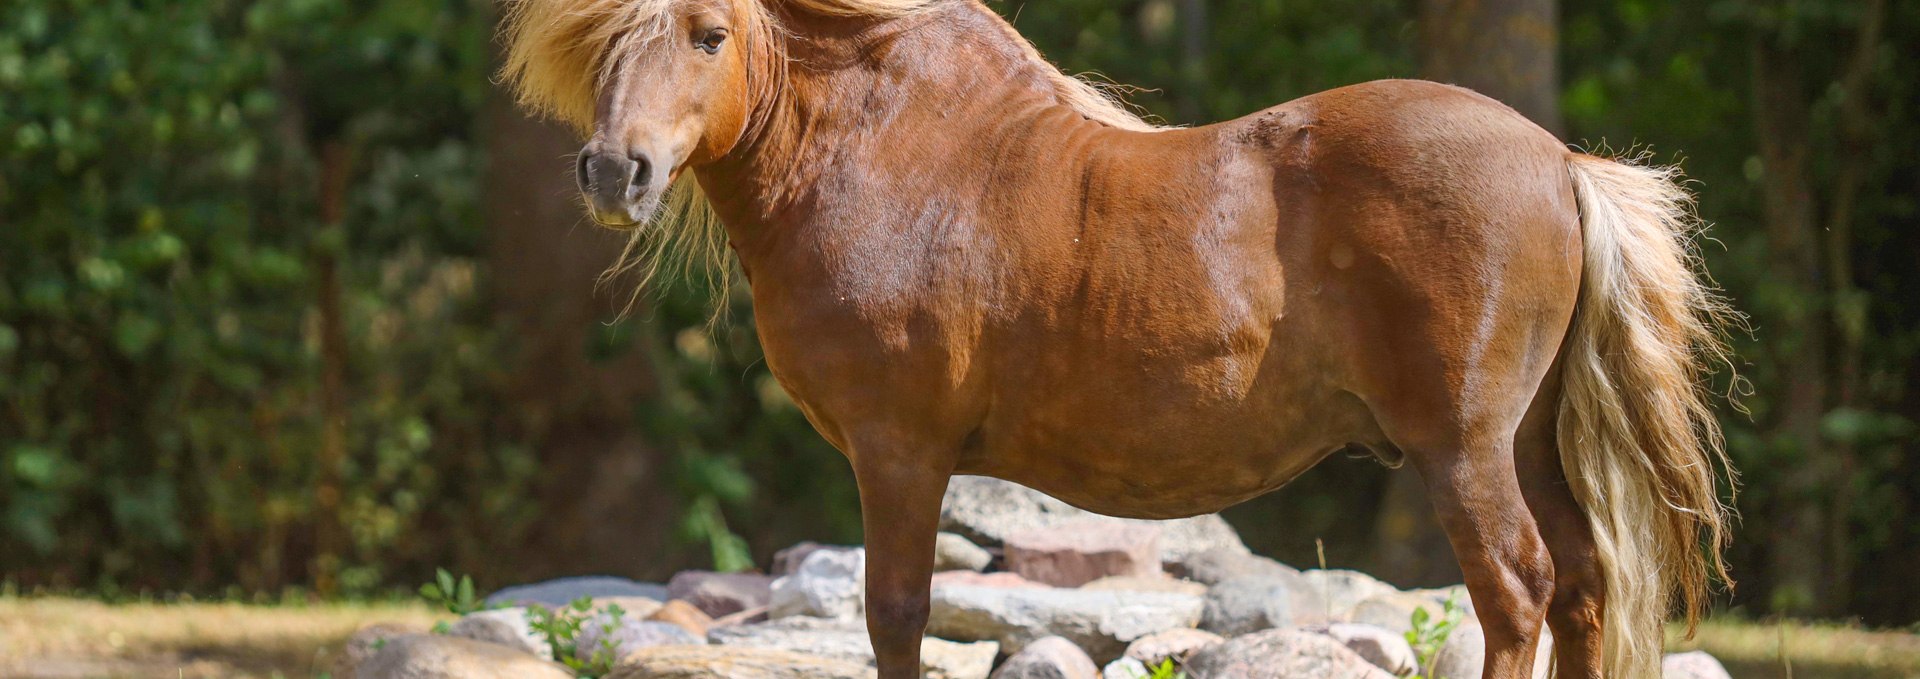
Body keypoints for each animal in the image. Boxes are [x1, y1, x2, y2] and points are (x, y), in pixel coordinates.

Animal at [503, 0, 1735, 675]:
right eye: (600, 40)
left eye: (709, 34)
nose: (615, 173)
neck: (881, 151)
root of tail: (1561, 164)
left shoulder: (900, 453)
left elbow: (895, 618)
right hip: (1529, 442)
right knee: (1581, 588)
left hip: (1465, 450)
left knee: (1518, 591)